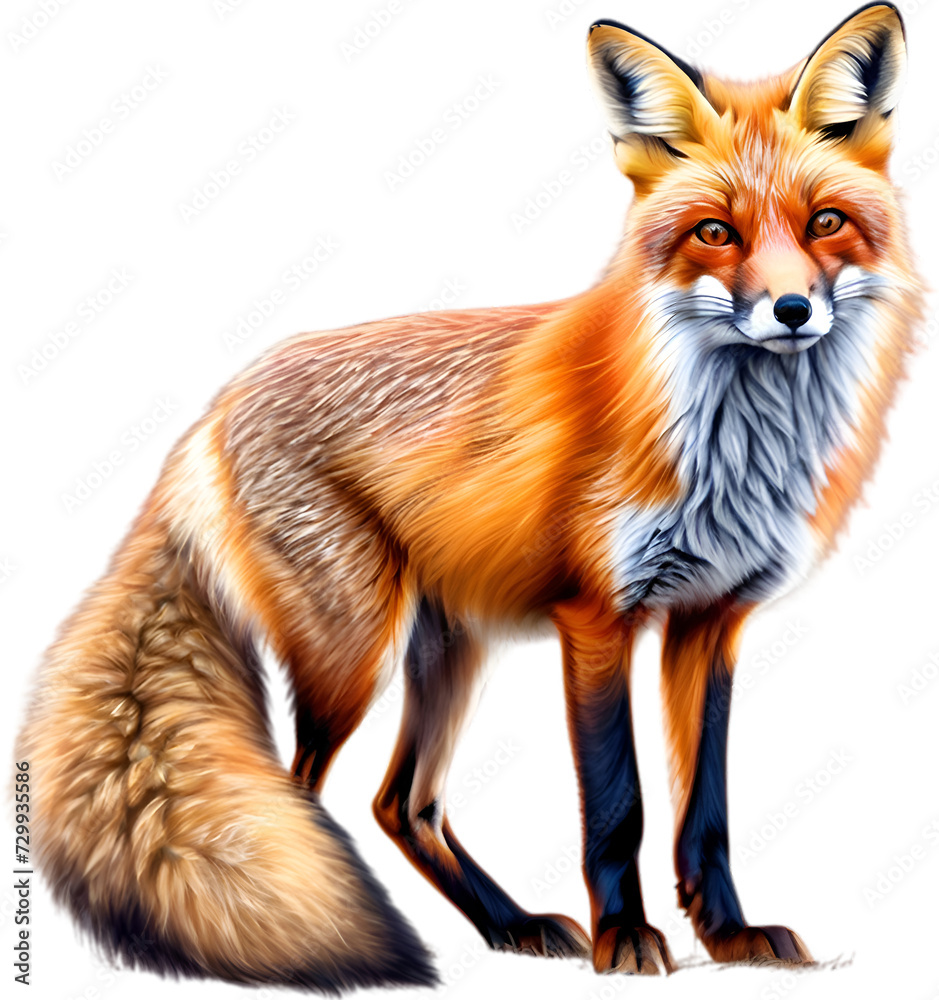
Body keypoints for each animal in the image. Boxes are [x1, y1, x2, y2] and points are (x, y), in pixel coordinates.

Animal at [19, 2, 925, 989]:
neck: (737, 449)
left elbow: (706, 812)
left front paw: (728, 936)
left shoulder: (709, 618)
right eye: (715, 233)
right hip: (351, 656)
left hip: (448, 649)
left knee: (400, 804)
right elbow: (619, 806)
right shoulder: (596, 616)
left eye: (825, 222)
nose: (792, 311)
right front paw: (625, 940)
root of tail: (215, 408)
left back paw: (510, 924)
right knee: (300, 795)